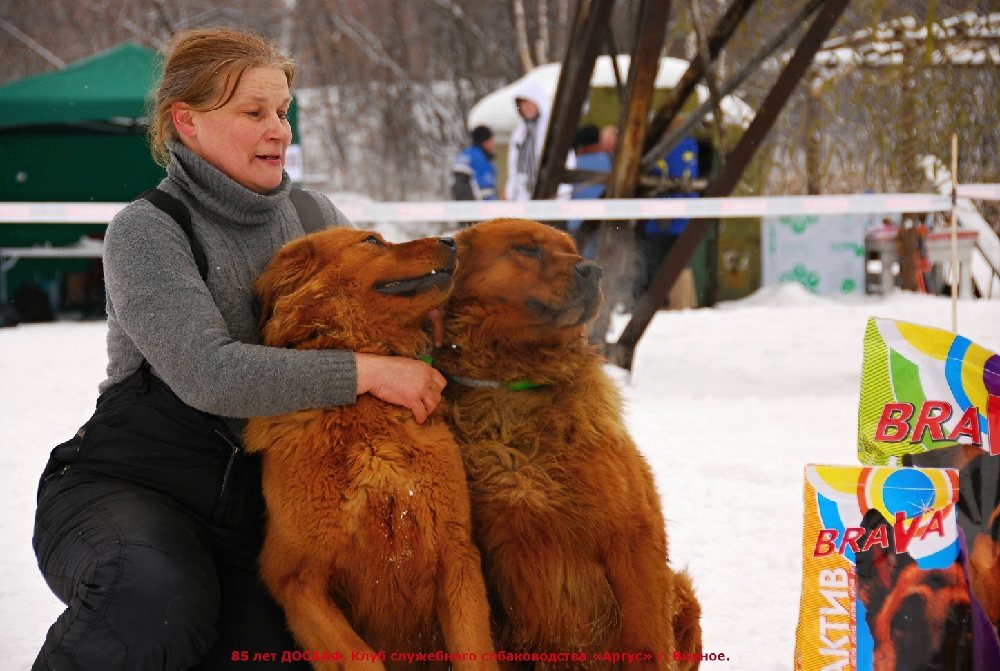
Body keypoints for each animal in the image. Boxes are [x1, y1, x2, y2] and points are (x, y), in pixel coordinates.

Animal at [242, 230, 492, 671]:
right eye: (372, 240)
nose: (451, 240)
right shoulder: (294, 577)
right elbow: (360, 657)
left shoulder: (456, 552)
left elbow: (475, 653)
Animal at [436, 218, 704, 668]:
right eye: (528, 250)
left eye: (572, 250)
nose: (593, 271)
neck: (514, 387)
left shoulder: (633, 536)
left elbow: (647, 641)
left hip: (682, 592)